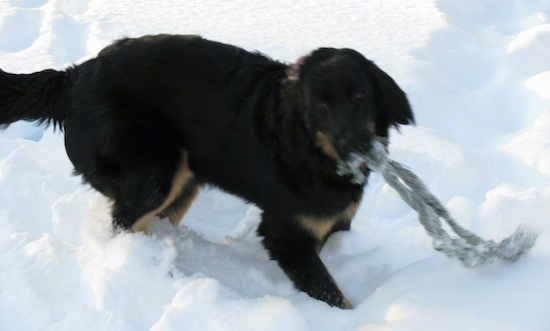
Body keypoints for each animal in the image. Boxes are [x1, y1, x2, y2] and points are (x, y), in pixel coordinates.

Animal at [0, 35, 414, 310]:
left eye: (359, 95)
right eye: (321, 105)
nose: (356, 144)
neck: (312, 154)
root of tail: (72, 77)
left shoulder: (334, 221)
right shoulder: (285, 235)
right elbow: (331, 293)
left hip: (185, 176)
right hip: (156, 171)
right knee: (124, 223)